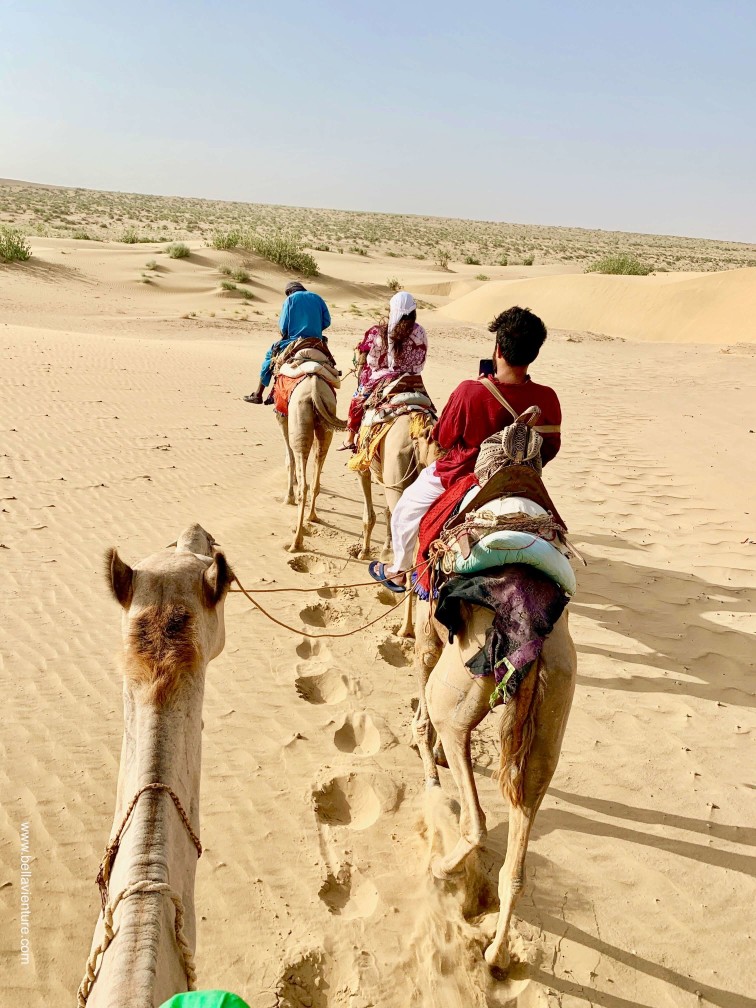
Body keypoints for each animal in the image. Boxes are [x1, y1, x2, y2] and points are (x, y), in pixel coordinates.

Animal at [277, 375, 346, 553]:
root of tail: (314, 390)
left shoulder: (282, 416)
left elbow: (289, 459)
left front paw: (288, 498)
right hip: (326, 422)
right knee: (316, 475)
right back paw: (312, 516)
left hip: (299, 420)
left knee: (304, 485)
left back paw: (296, 543)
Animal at [413, 593, 577, 974]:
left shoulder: (426, 633)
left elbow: (422, 704)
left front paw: (430, 771)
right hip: (551, 719)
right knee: (516, 862)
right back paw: (497, 955)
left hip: (459, 684)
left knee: (475, 818)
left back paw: (442, 867)